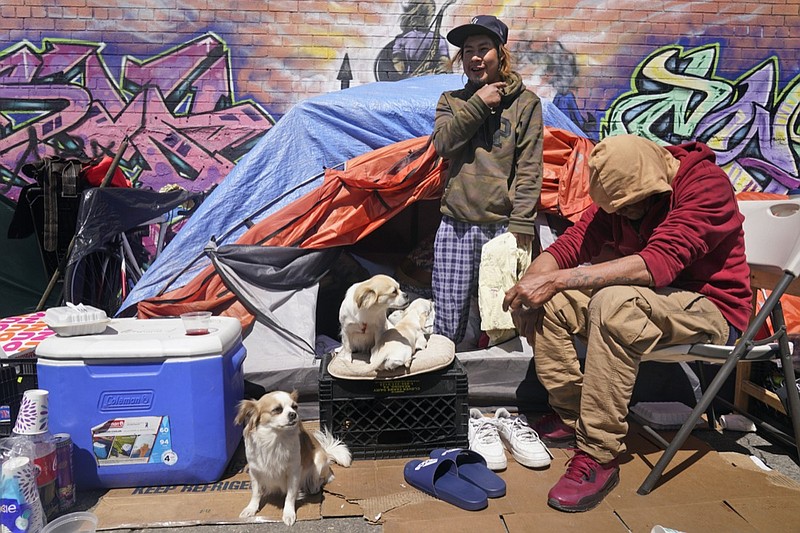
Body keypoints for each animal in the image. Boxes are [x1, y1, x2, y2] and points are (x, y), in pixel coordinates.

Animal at [236, 388, 352, 524]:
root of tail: (326, 451)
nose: (293, 414)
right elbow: (256, 492)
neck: (275, 439)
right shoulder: (255, 471)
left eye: (295, 407)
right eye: (277, 409)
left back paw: (314, 486)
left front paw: (288, 513)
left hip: (319, 462)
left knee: (327, 477)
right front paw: (251, 508)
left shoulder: (294, 472)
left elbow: (290, 495)